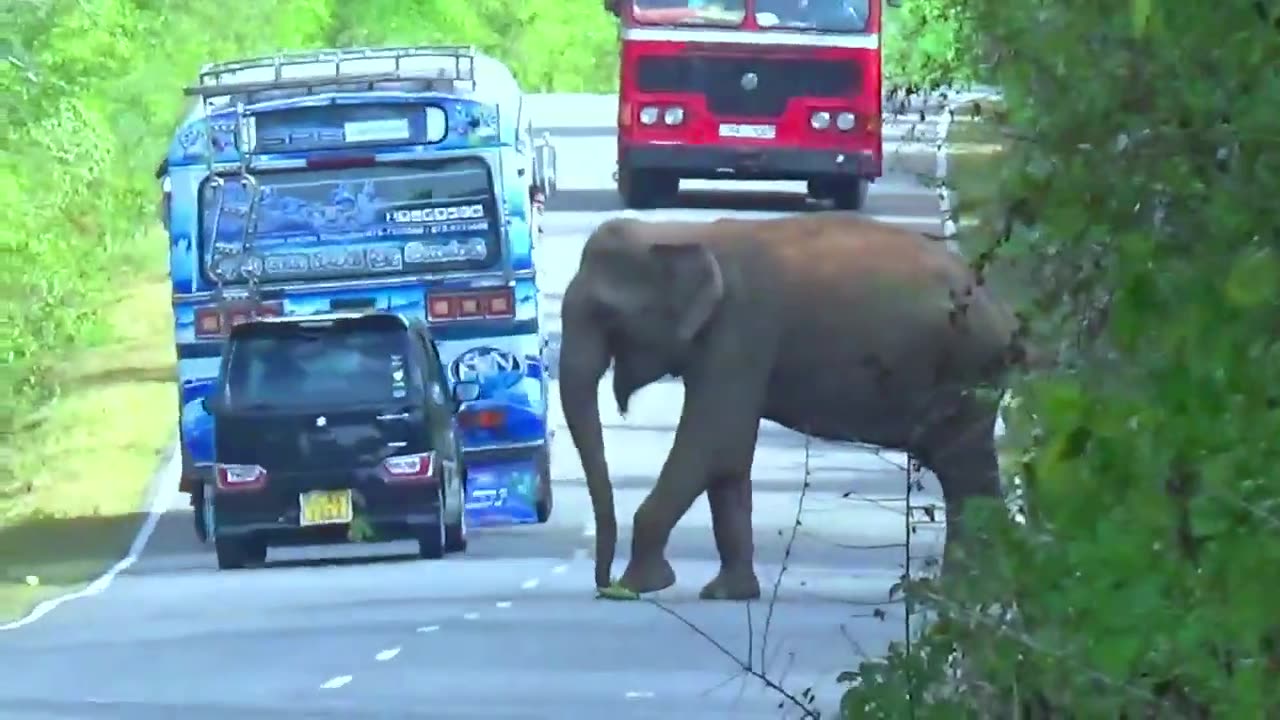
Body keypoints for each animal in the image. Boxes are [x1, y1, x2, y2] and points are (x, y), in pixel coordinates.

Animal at [558, 212, 1026, 601]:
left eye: (605, 314)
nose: (602, 583)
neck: (684, 231)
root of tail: (1005, 311)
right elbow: (728, 456)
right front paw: (729, 594)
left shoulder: (740, 332)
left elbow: (711, 441)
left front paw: (637, 587)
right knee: (968, 474)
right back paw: (971, 591)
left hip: (967, 371)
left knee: (963, 471)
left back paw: (963, 592)